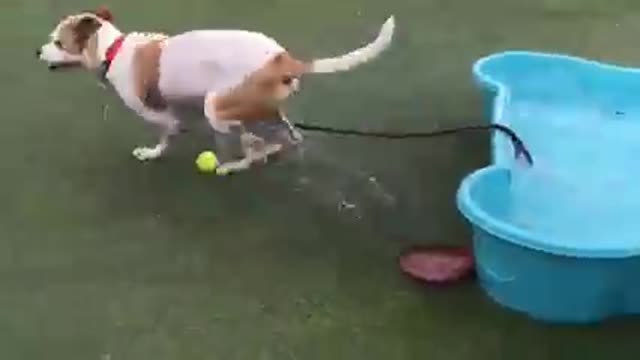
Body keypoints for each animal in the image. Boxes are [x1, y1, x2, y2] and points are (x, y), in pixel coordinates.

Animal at [38, 5, 396, 174]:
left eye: (58, 43)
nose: (38, 52)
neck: (114, 50)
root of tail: (282, 59)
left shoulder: (164, 117)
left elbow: (166, 135)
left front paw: (153, 153)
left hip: (218, 107)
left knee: (255, 146)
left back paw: (236, 163)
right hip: (262, 107)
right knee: (287, 135)